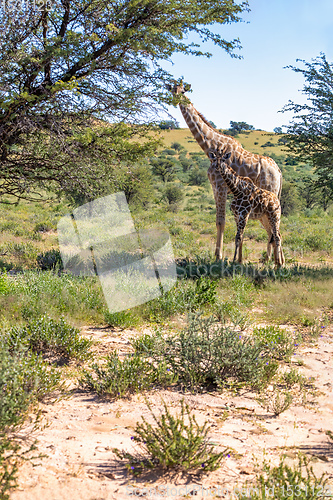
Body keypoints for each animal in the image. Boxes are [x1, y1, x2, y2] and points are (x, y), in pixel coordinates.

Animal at [167, 80, 282, 260]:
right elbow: (218, 221)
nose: (177, 99)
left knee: (273, 228)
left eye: (183, 91)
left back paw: (272, 260)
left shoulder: (221, 187)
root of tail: (278, 171)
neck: (209, 146)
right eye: (173, 90)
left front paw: (218, 256)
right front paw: (222, 254)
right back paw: (272, 260)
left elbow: (221, 221)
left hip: (269, 195)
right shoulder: (215, 188)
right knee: (273, 229)